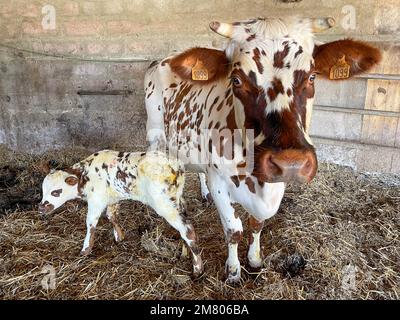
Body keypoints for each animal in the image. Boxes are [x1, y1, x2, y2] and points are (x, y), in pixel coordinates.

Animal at [38, 151, 203, 278]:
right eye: (43, 189)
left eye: (56, 192)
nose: (41, 207)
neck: (86, 175)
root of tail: (176, 166)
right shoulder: (112, 198)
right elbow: (111, 216)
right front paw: (119, 236)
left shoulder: (96, 200)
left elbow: (90, 223)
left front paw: (85, 249)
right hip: (178, 200)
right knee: (184, 224)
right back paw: (184, 253)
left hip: (164, 204)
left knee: (187, 230)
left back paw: (197, 270)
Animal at [145, 16, 382, 284]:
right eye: (236, 79)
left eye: (312, 77)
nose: (291, 162)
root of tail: (162, 59)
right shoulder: (220, 182)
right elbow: (234, 230)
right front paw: (233, 271)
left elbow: (257, 224)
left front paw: (255, 259)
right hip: (155, 135)